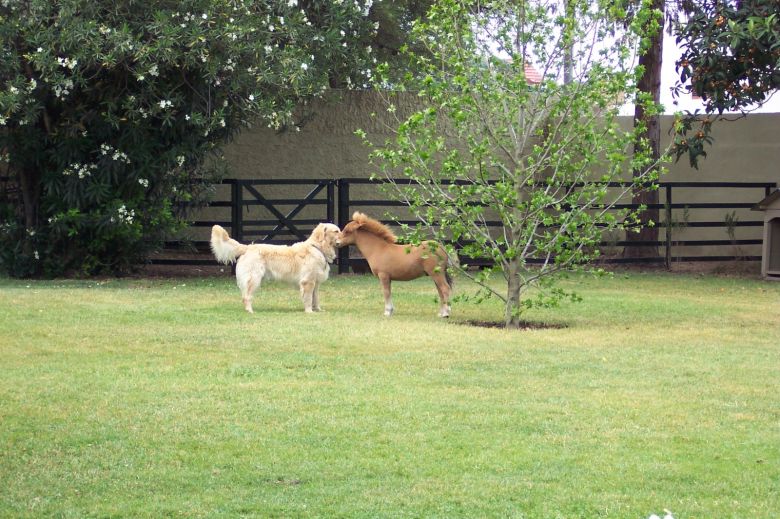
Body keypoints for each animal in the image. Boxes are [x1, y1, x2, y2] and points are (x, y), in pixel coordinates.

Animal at [209, 222, 340, 312]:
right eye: (336, 231)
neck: (317, 248)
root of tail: (248, 247)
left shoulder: (316, 283)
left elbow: (315, 298)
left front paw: (318, 310)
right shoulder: (307, 281)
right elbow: (308, 298)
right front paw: (309, 311)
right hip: (254, 279)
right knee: (246, 297)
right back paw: (250, 311)